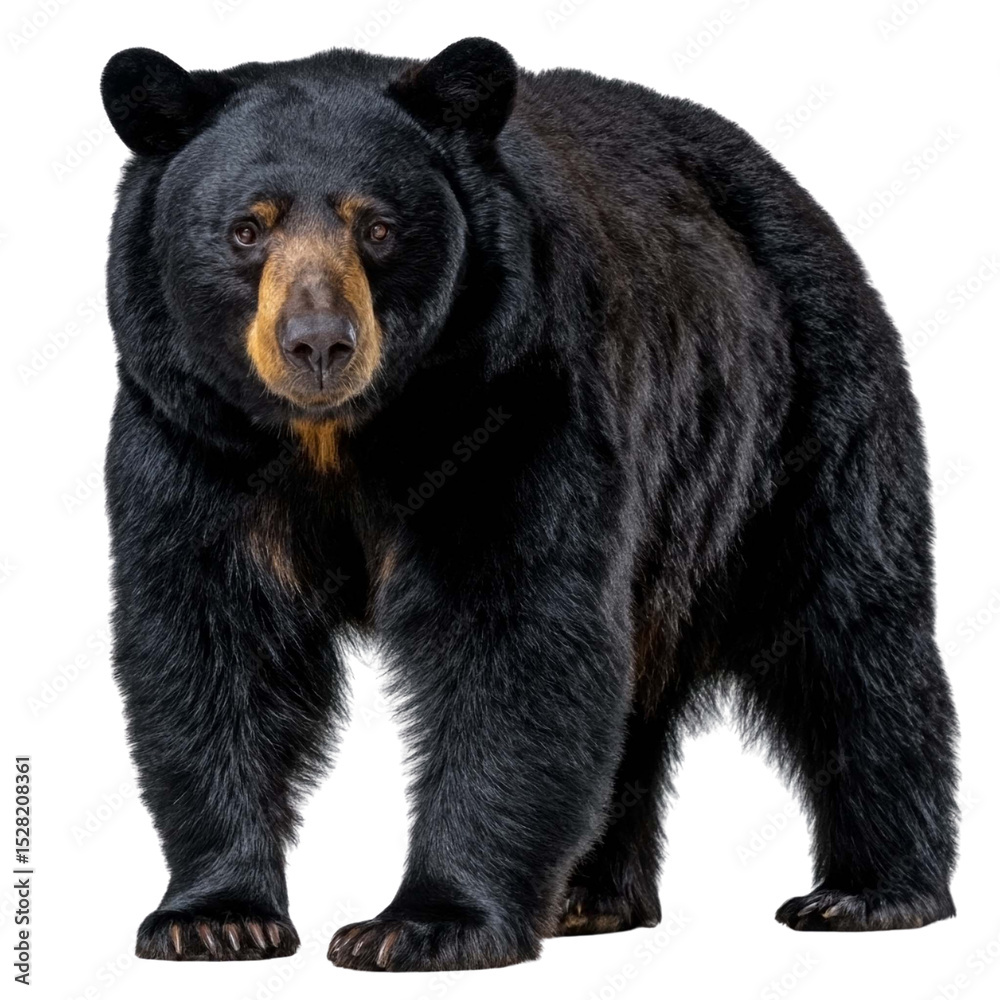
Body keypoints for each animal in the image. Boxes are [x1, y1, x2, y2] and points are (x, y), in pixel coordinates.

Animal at [100, 37, 959, 971]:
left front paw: (422, 923)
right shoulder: (195, 437)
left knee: (848, 637)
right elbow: (209, 638)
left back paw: (868, 892)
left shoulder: (515, 402)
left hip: (792, 423)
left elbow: (513, 637)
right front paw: (213, 916)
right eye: (247, 228)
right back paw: (590, 895)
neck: (342, 435)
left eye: (378, 227)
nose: (319, 344)